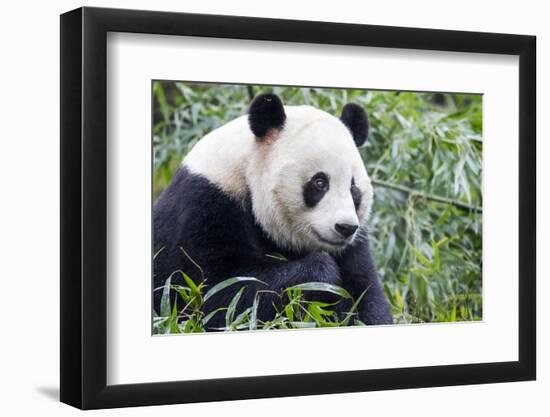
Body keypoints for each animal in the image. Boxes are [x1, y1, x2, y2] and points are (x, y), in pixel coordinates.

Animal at [155, 93, 394, 328]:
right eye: (320, 182)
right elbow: (218, 295)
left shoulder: (354, 246)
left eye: (354, 188)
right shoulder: (206, 206)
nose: (345, 227)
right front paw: (322, 276)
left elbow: (368, 295)